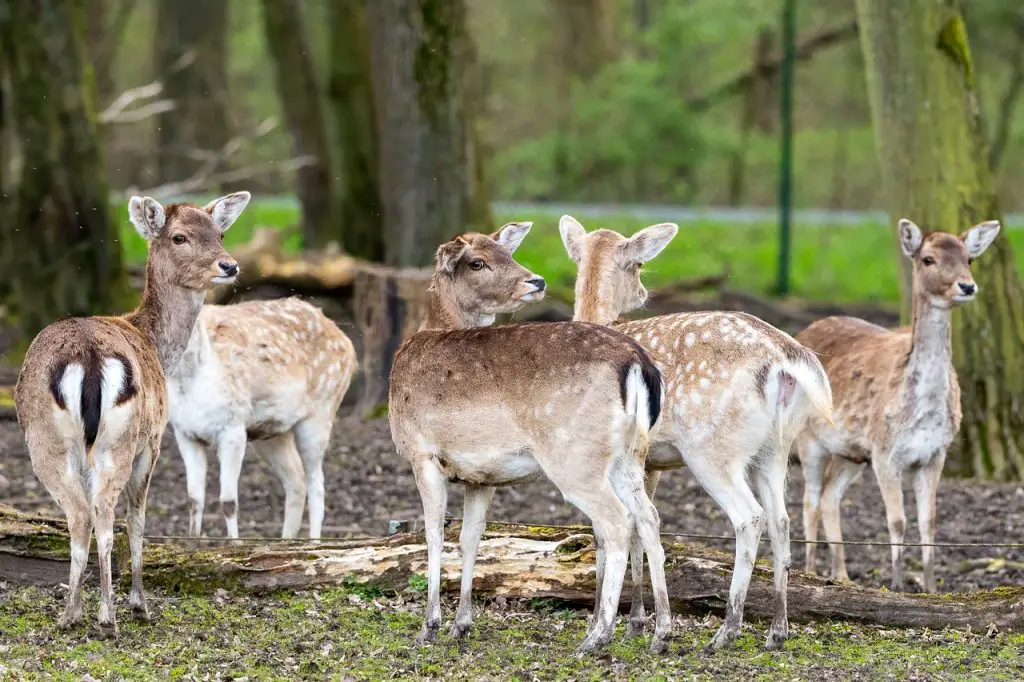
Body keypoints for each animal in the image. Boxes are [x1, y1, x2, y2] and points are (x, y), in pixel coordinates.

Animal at [15, 189, 249, 630]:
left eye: (221, 232)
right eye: (179, 236)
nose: (229, 265)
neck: (156, 344)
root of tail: (88, 356)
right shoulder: (154, 440)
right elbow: (137, 520)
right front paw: (139, 602)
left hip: (49, 441)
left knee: (81, 514)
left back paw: (71, 613)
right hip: (117, 441)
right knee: (102, 514)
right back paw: (108, 616)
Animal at [167, 294, 356, 540]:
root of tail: (349, 346)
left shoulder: (233, 428)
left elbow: (228, 501)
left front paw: (234, 544)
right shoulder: (184, 432)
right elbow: (194, 499)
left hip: (321, 414)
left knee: (317, 484)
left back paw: (314, 542)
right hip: (271, 432)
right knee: (297, 479)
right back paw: (286, 540)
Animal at [385, 224, 671, 655]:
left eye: (507, 252)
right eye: (478, 262)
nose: (536, 281)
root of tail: (638, 364)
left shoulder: (421, 452)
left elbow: (433, 533)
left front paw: (429, 626)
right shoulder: (480, 476)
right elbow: (470, 537)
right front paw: (461, 624)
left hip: (575, 457)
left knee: (617, 522)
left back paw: (596, 636)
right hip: (630, 455)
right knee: (649, 517)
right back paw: (661, 633)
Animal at [557, 215, 835, 651]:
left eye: (639, 264)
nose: (644, 293)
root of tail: (784, 357)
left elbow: (609, 533)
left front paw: (613, 623)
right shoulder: (650, 463)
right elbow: (638, 530)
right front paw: (636, 621)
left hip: (712, 448)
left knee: (749, 517)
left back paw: (727, 629)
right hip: (776, 448)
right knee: (781, 520)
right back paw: (777, 630)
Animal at [790, 216, 999, 589]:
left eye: (969, 259)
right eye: (928, 259)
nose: (967, 286)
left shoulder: (934, 453)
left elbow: (929, 522)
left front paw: (930, 588)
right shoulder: (885, 452)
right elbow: (897, 520)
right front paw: (898, 584)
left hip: (851, 453)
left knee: (829, 497)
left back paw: (842, 577)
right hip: (809, 442)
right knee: (809, 500)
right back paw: (811, 571)